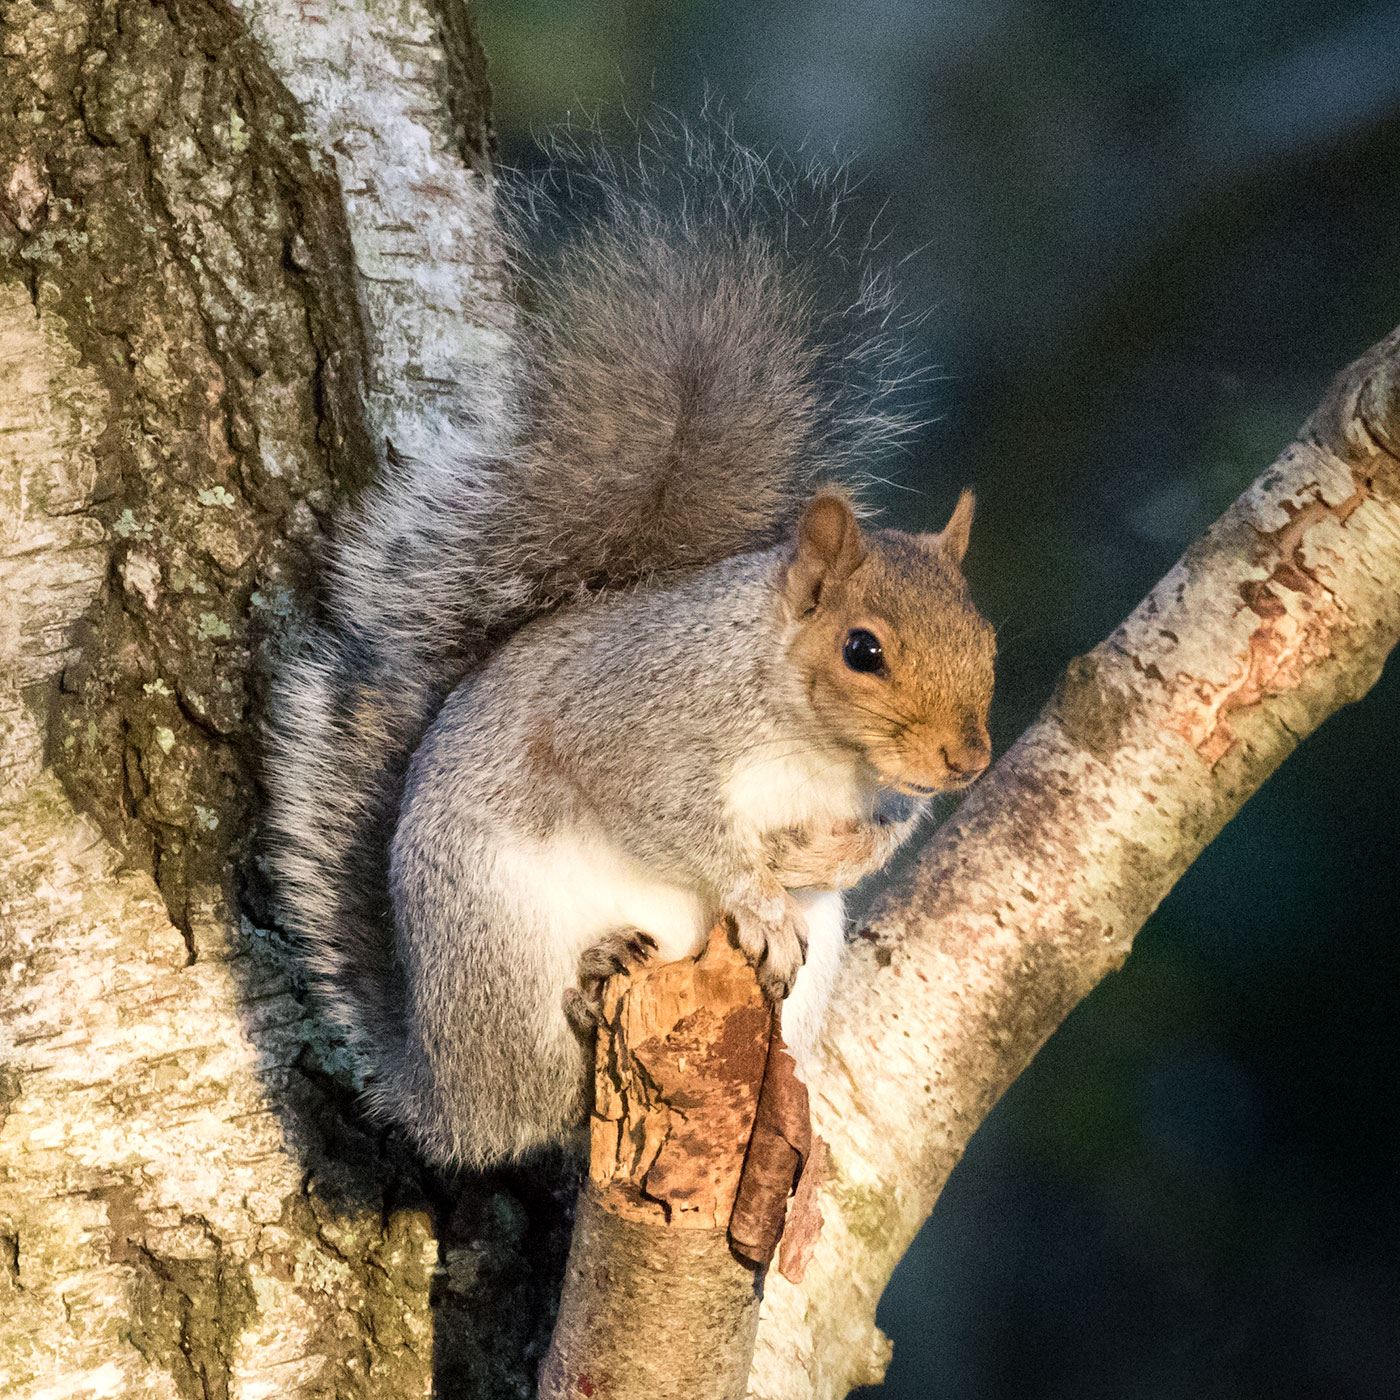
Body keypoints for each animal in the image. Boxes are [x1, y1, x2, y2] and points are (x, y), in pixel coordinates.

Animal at [264, 123, 996, 1170]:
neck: (813, 740)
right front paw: (755, 890)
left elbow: (878, 836)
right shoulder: (635, 715)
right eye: (863, 651)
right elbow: (661, 807)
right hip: (500, 938)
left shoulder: (884, 792)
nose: (967, 761)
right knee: (537, 1088)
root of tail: (438, 1092)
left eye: (985, 634)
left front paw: (824, 853)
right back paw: (584, 989)